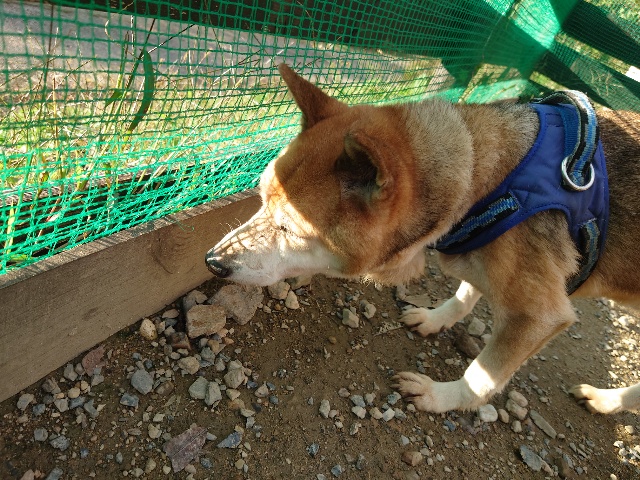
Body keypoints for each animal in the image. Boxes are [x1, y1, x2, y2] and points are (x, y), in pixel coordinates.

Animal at [206, 64, 640, 415]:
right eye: (261, 199)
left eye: (290, 230)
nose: (212, 261)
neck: (485, 183)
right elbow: (466, 292)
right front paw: (435, 318)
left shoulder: (539, 314)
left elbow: (482, 375)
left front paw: (440, 397)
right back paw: (606, 401)